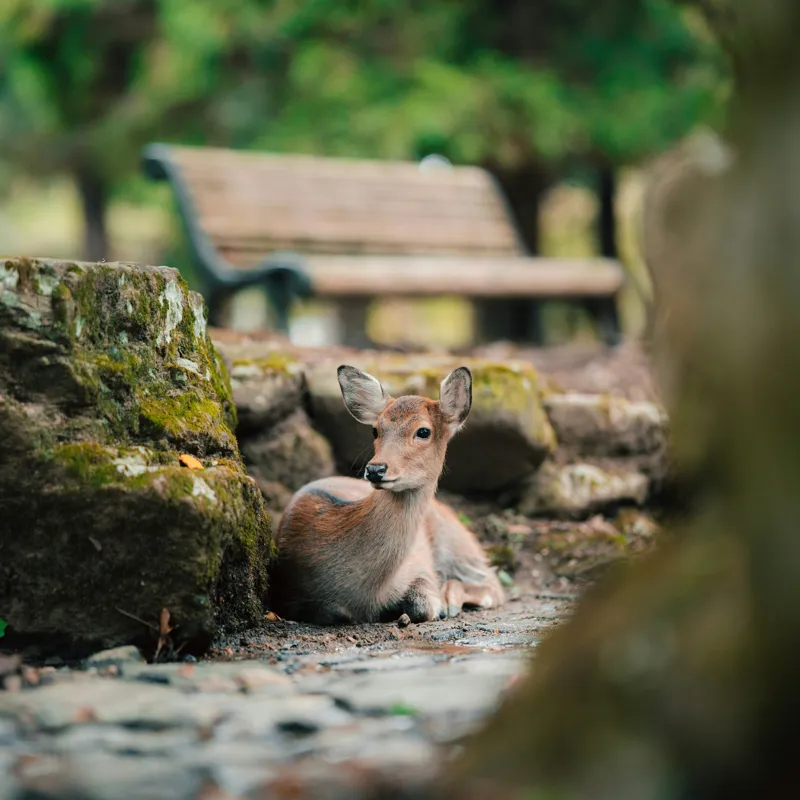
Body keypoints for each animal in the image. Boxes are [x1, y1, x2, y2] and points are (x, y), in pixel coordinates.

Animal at [268, 364, 505, 625]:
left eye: (424, 431)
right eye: (375, 430)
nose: (376, 469)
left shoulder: (420, 564)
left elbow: (423, 606)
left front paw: (437, 605)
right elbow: (330, 612)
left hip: (457, 540)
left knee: (493, 583)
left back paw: (451, 599)